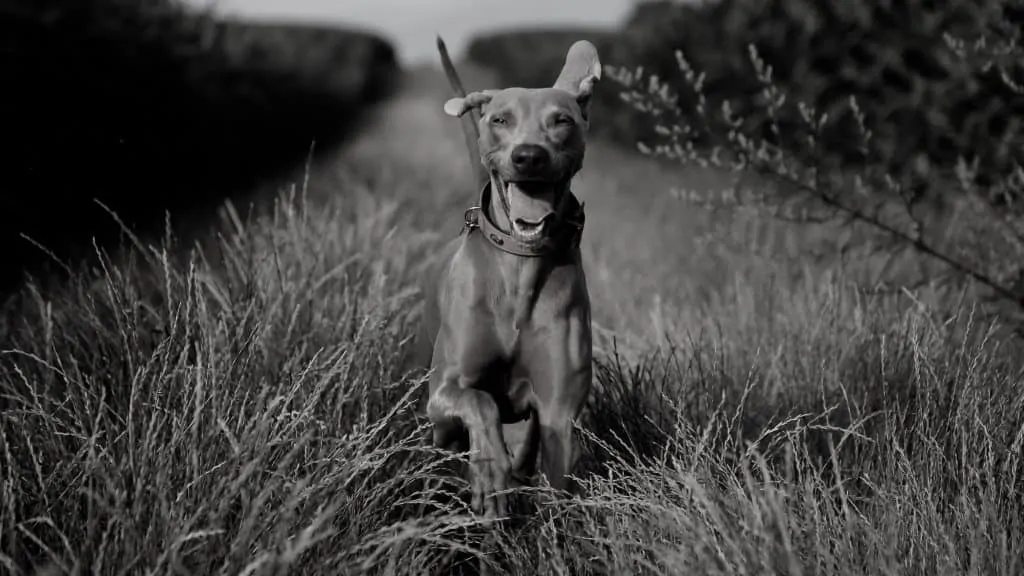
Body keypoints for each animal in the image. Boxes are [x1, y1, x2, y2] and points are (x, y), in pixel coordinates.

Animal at [417, 36, 598, 516]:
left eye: (561, 121)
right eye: (500, 119)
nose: (529, 156)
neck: (520, 264)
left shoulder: (559, 413)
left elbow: (555, 483)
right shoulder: (444, 391)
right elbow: (479, 401)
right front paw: (489, 472)